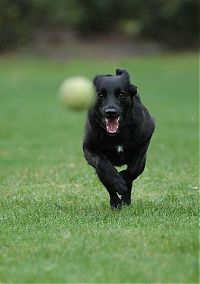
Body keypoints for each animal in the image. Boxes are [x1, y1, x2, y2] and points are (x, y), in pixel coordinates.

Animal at [83, 69, 155, 209]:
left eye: (121, 94)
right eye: (100, 95)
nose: (110, 112)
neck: (117, 134)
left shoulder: (145, 140)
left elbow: (134, 169)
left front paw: (123, 178)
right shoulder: (89, 148)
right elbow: (104, 165)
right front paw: (118, 182)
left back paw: (125, 200)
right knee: (106, 180)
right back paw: (116, 203)